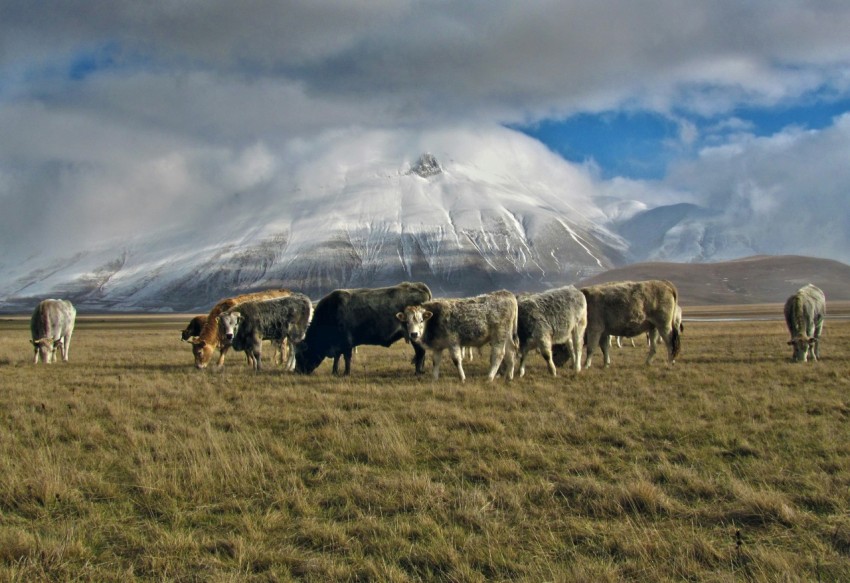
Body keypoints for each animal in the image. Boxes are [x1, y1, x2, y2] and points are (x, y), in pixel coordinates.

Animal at [295, 282, 432, 376]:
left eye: (300, 355)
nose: (297, 371)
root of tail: (419, 286)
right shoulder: (339, 345)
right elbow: (337, 358)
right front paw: (334, 372)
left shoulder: (346, 343)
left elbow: (346, 358)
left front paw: (346, 373)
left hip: (414, 336)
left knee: (420, 352)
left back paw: (417, 371)